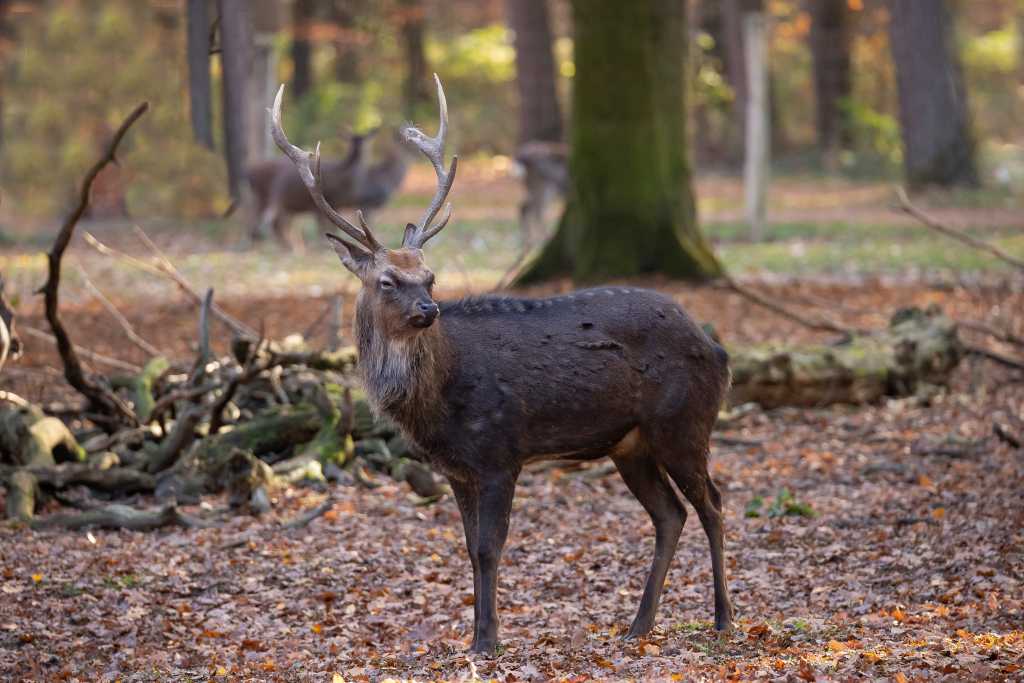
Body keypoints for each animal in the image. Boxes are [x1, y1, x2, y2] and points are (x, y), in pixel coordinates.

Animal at [272, 76, 737, 655]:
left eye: (430, 276)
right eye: (387, 280)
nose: (428, 310)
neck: (438, 398)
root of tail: (717, 350)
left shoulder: (500, 452)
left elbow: (490, 548)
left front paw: (488, 641)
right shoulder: (456, 468)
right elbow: (469, 549)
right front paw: (475, 635)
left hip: (684, 422)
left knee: (712, 504)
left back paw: (722, 618)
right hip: (630, 444)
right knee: (670, 514)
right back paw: (639, 625)